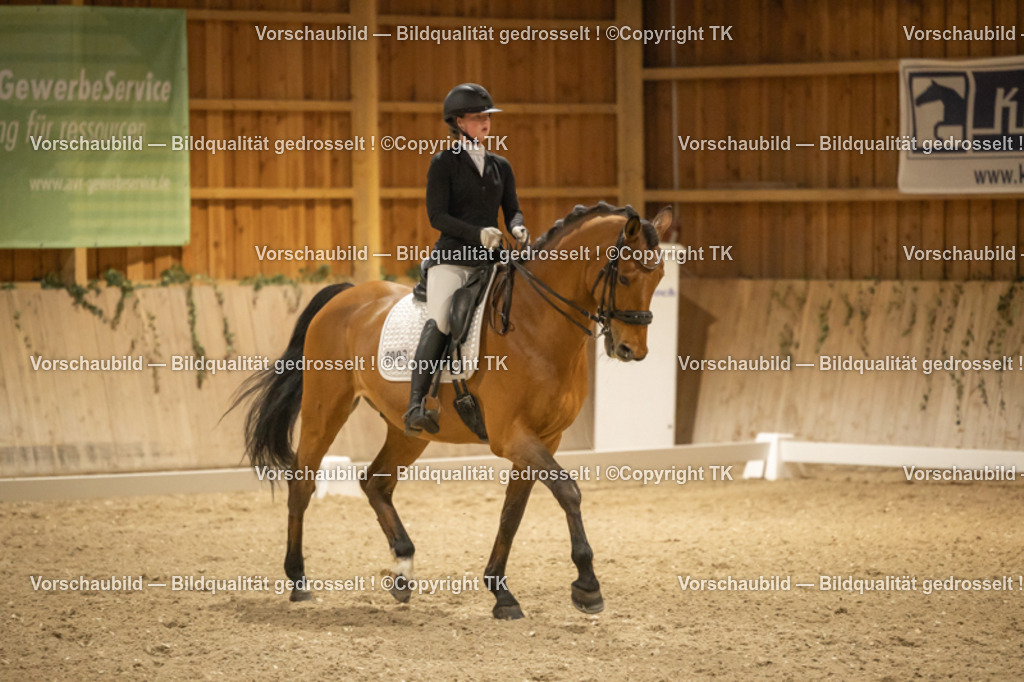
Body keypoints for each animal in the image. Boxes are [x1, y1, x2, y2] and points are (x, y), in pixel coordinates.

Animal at [233, 202, 673, 619]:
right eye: (625, 277)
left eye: (660, 278)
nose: (631, 350)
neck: (537, 324)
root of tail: (345, 295)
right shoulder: (512, 437)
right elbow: (569, 491)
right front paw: (587, 587)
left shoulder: (545, 439)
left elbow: (512, 513)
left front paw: (501, 593)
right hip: (326, 409)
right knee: (302, 483)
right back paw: (299, 580)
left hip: (408, 429)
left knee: (375, 482)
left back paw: (402, 570)